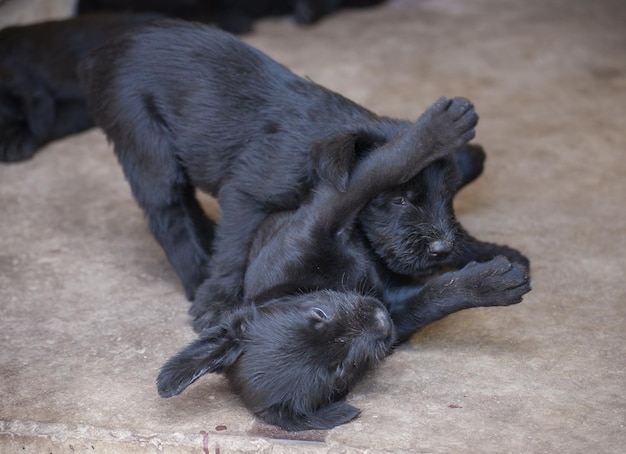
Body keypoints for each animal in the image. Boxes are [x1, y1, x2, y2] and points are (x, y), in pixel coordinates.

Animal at [77, 19, 528, 326]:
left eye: (447, 198)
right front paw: (218, 300)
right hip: (146, 145)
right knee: (170, 216)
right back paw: (197, 280)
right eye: (399, 200)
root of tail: (104, 52)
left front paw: (486, 249)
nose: (440, 251)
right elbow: (234, 247)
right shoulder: (246, 194)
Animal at [157, 97, 532, 430]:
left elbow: (381, 168)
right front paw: (494, 283)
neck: (305, 285)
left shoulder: (318, 220)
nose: (379, 318)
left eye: (318, 314)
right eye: (341, 370)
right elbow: (436, 296)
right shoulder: (398, 317)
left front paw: (437, 130)